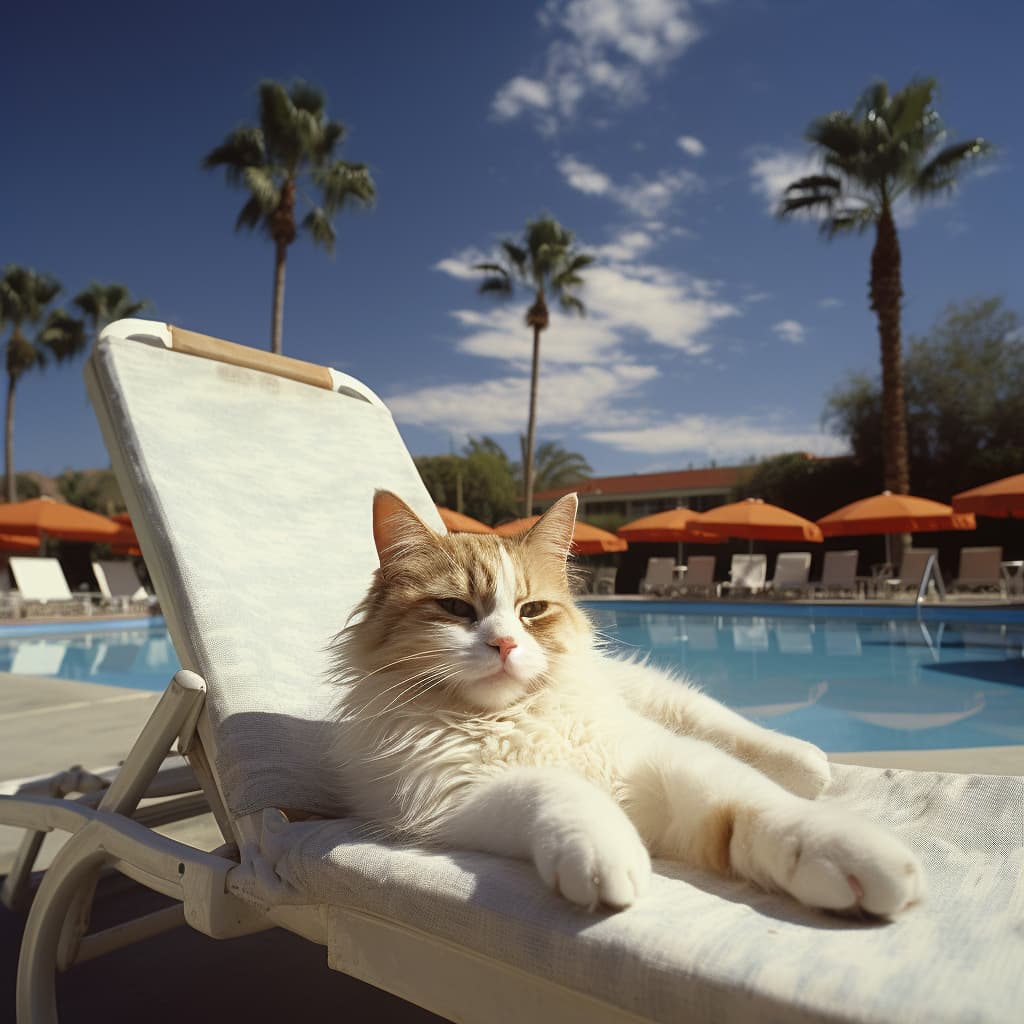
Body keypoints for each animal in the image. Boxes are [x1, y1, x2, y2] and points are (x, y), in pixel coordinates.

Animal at [331, 491, 925, 917]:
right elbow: (563, 797)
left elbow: (763, 808)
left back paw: (805, 765)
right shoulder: (462, 800)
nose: (504, 645)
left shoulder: (661, 756)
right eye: (456, 609)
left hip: (665, 701)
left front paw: (846, 854)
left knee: (732, 732)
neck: (513, 717)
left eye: (532, 611)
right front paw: (606, 857)